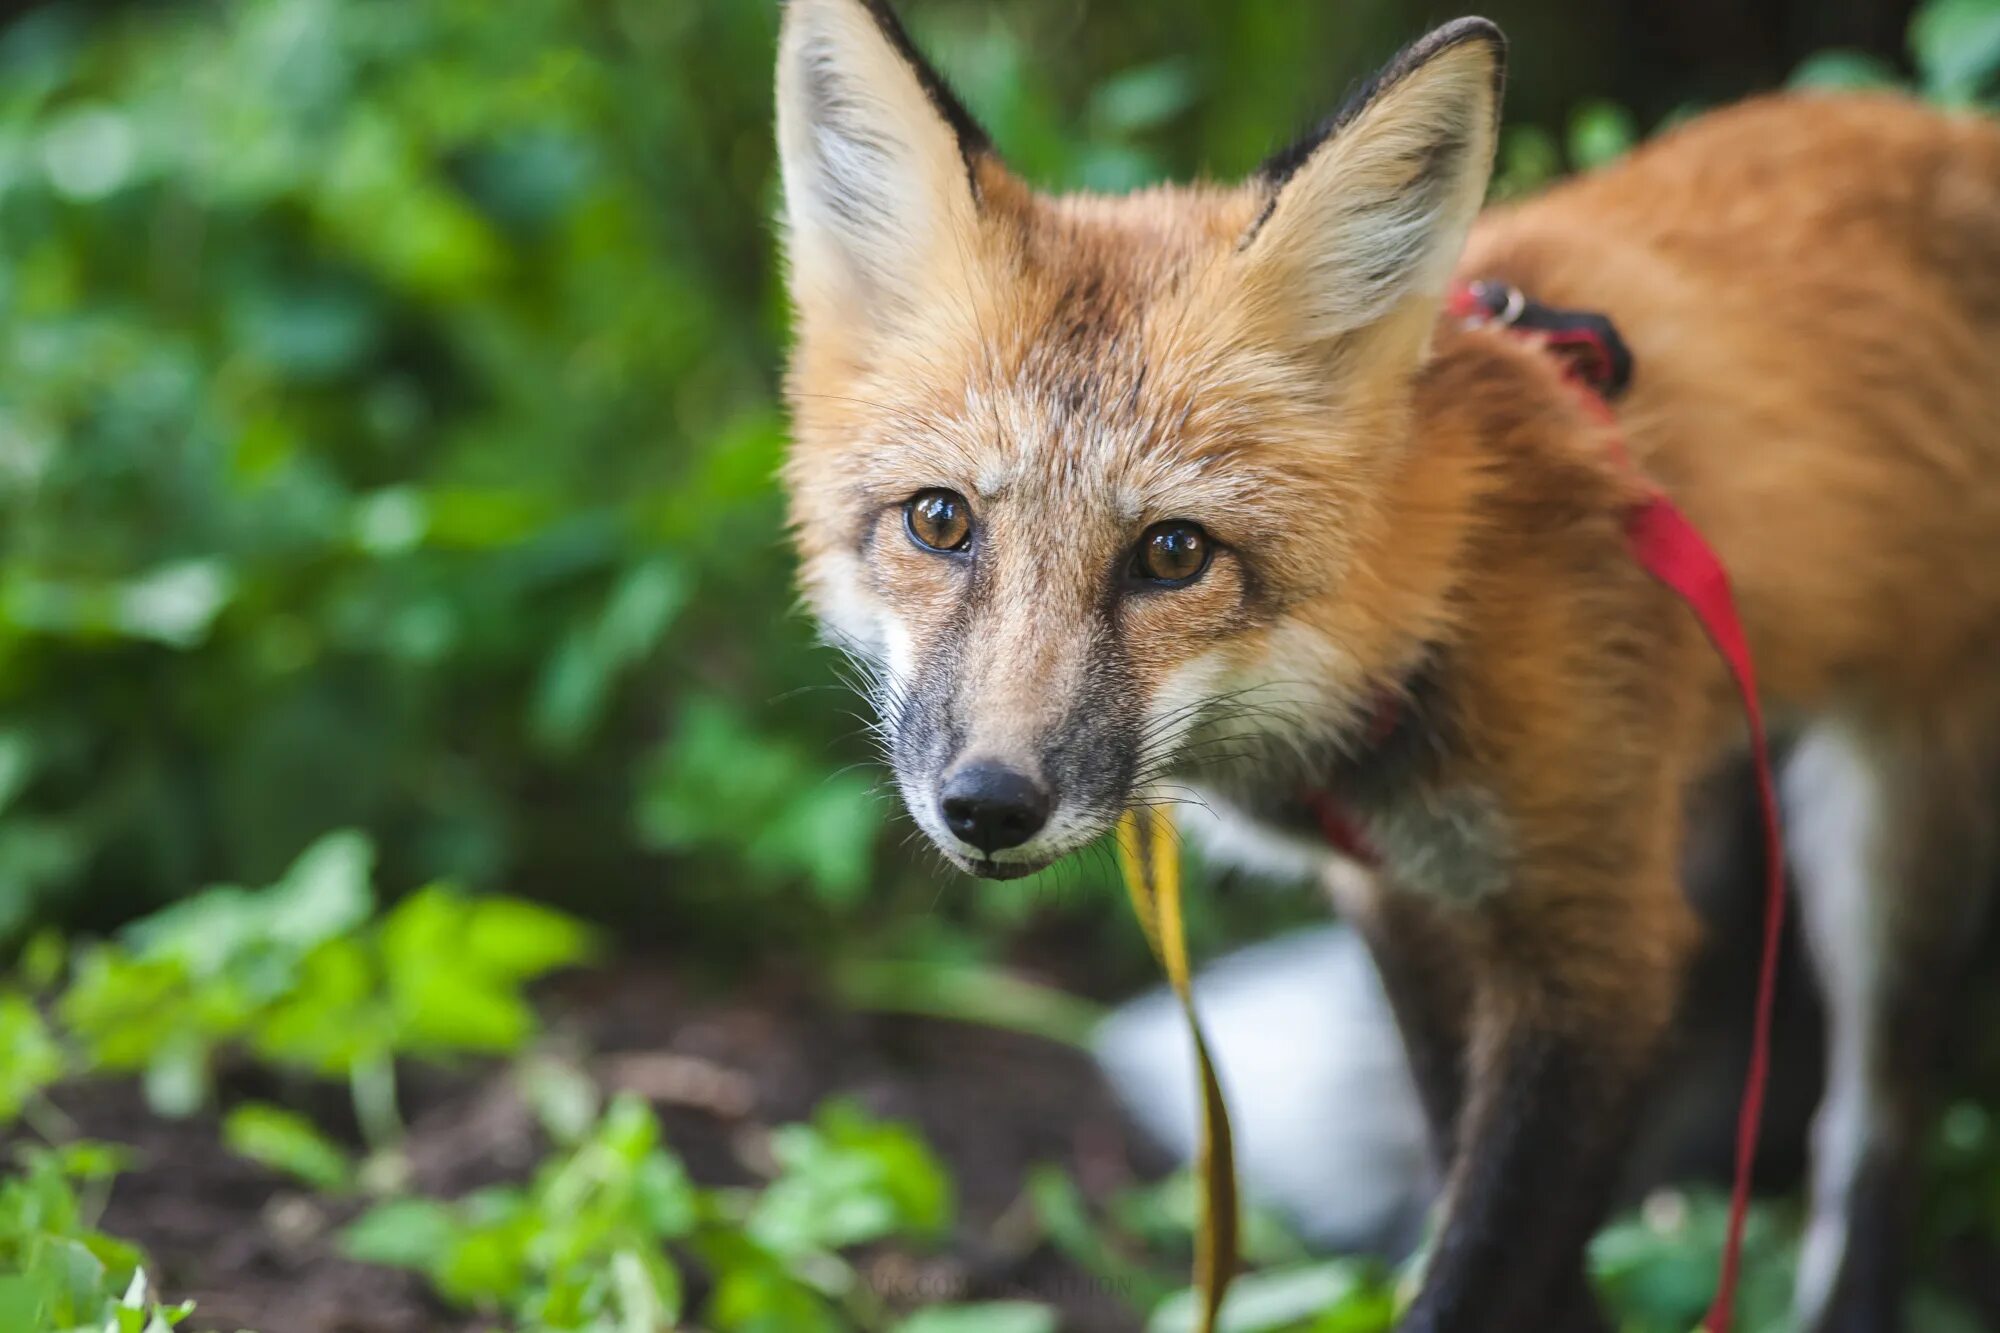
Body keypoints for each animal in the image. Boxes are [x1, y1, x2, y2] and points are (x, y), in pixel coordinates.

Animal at [772, 2, 2000, 1328]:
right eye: (938, 521)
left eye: (1172, 552)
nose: (989, 805)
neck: (1442, 599)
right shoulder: (1407, 905)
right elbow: (1518, 1241)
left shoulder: (1602, 944)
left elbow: (1481, 1265)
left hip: (1884, 847)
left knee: (1869, 1142)